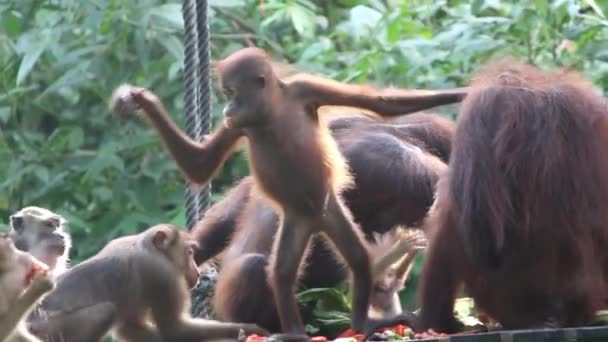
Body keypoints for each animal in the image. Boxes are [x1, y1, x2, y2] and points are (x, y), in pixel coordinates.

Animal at [28, 224, 266, 342]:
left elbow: (129, 326)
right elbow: (175, 329)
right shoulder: (162, 275)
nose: (197, 272)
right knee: (104, 312)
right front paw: (251, 329)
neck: (145, 245)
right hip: (47, 329)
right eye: (189, 252)